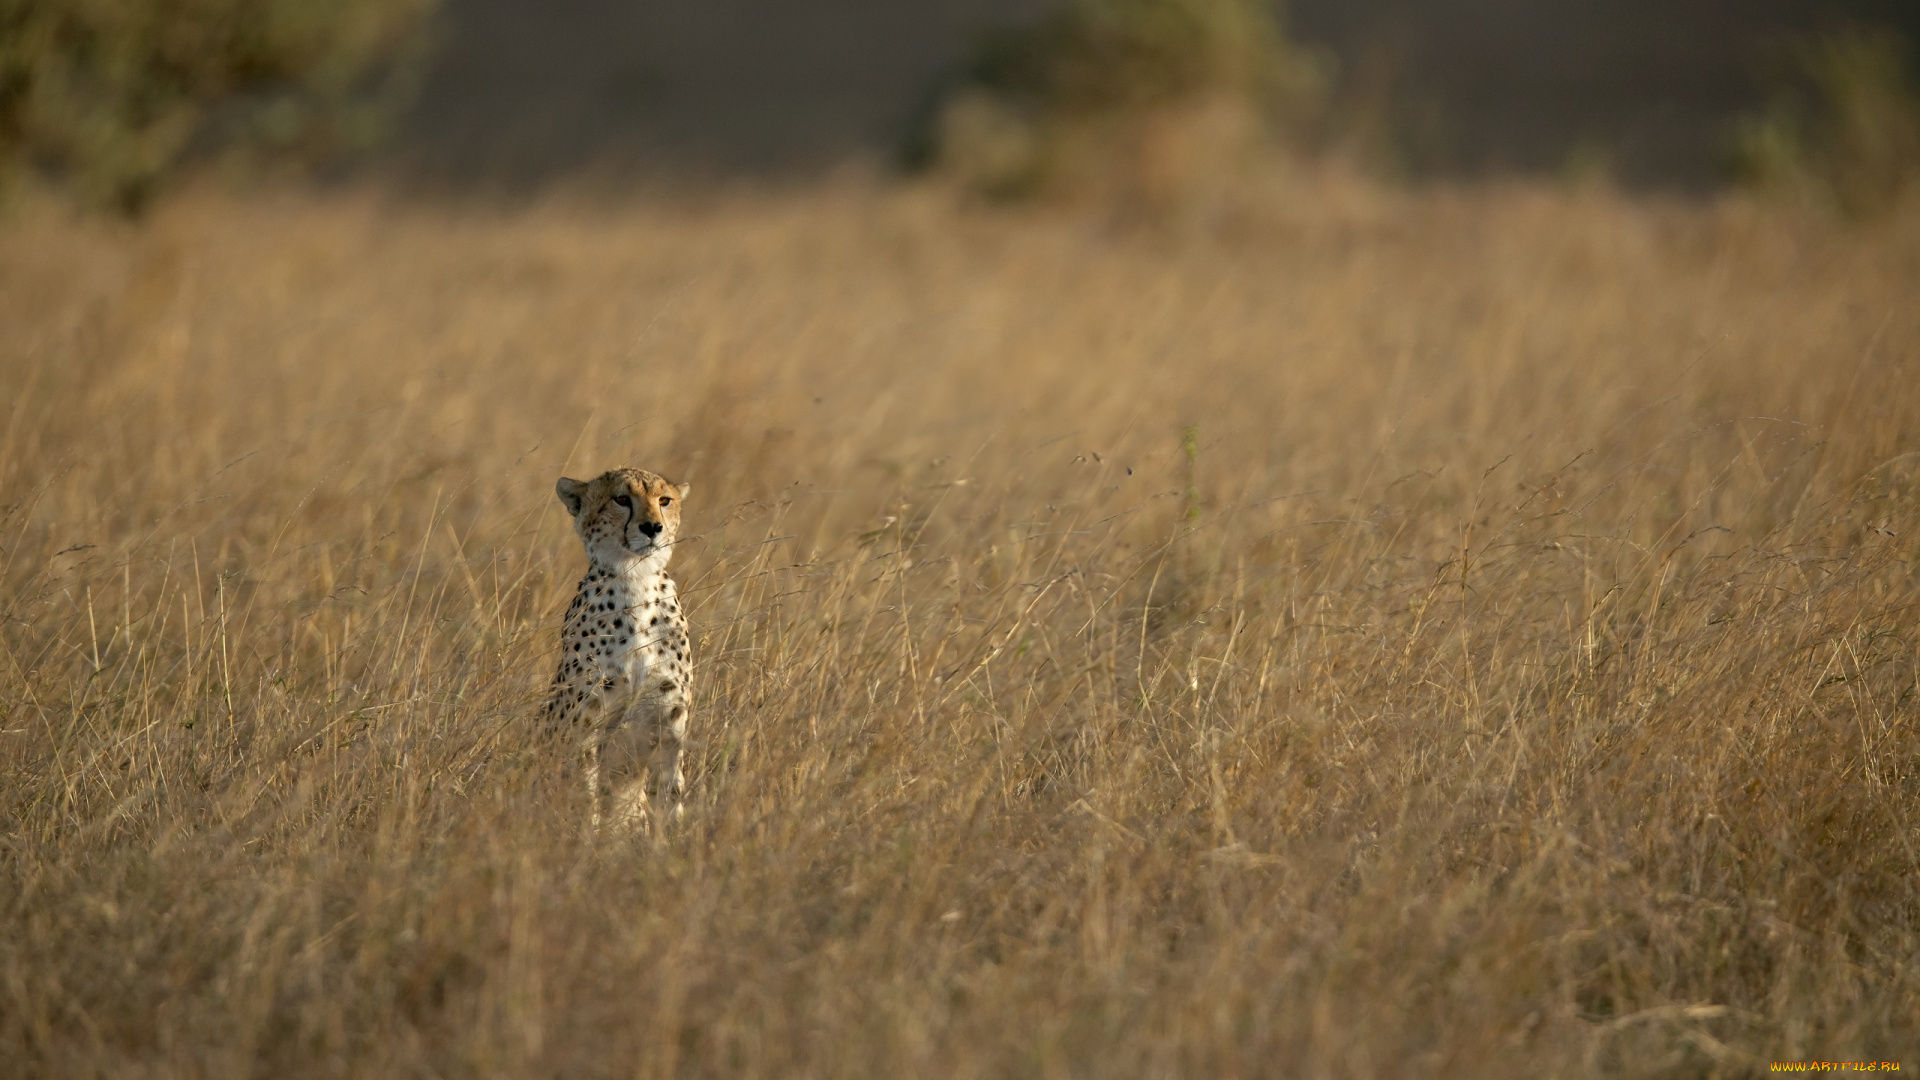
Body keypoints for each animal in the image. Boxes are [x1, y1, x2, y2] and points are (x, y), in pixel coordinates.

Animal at [545, 465, 695, 834]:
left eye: (664, 500)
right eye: (621, 499)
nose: (652, 527)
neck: (636, 577)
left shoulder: (669, 722)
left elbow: (669, 792)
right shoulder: (584, 722)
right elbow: (584, 793)